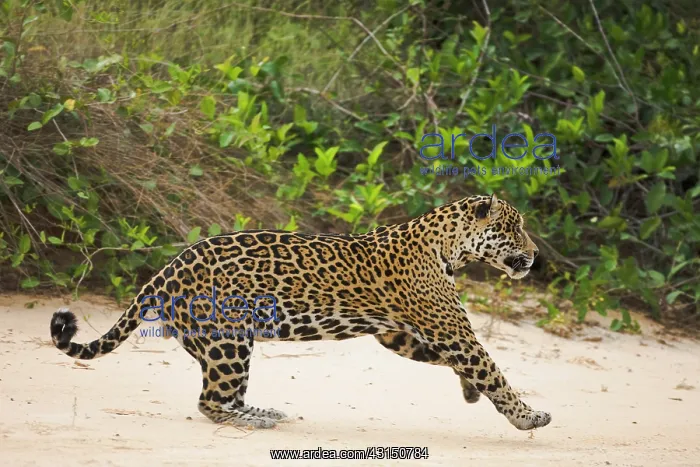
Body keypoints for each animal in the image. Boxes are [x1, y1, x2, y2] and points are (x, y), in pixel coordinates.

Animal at [50, 193, 552, 431]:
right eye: (514, 229)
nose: (535, 255)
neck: (449, 247)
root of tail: (164, 271)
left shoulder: (402, 334)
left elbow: (458, 364)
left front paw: (470, 391)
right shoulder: (451, 330)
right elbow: (493, 371)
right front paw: (527, 417)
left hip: (217, 344)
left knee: (223, 396)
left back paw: (263, 411)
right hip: (228, 339)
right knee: (211, 401)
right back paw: (260, 419)